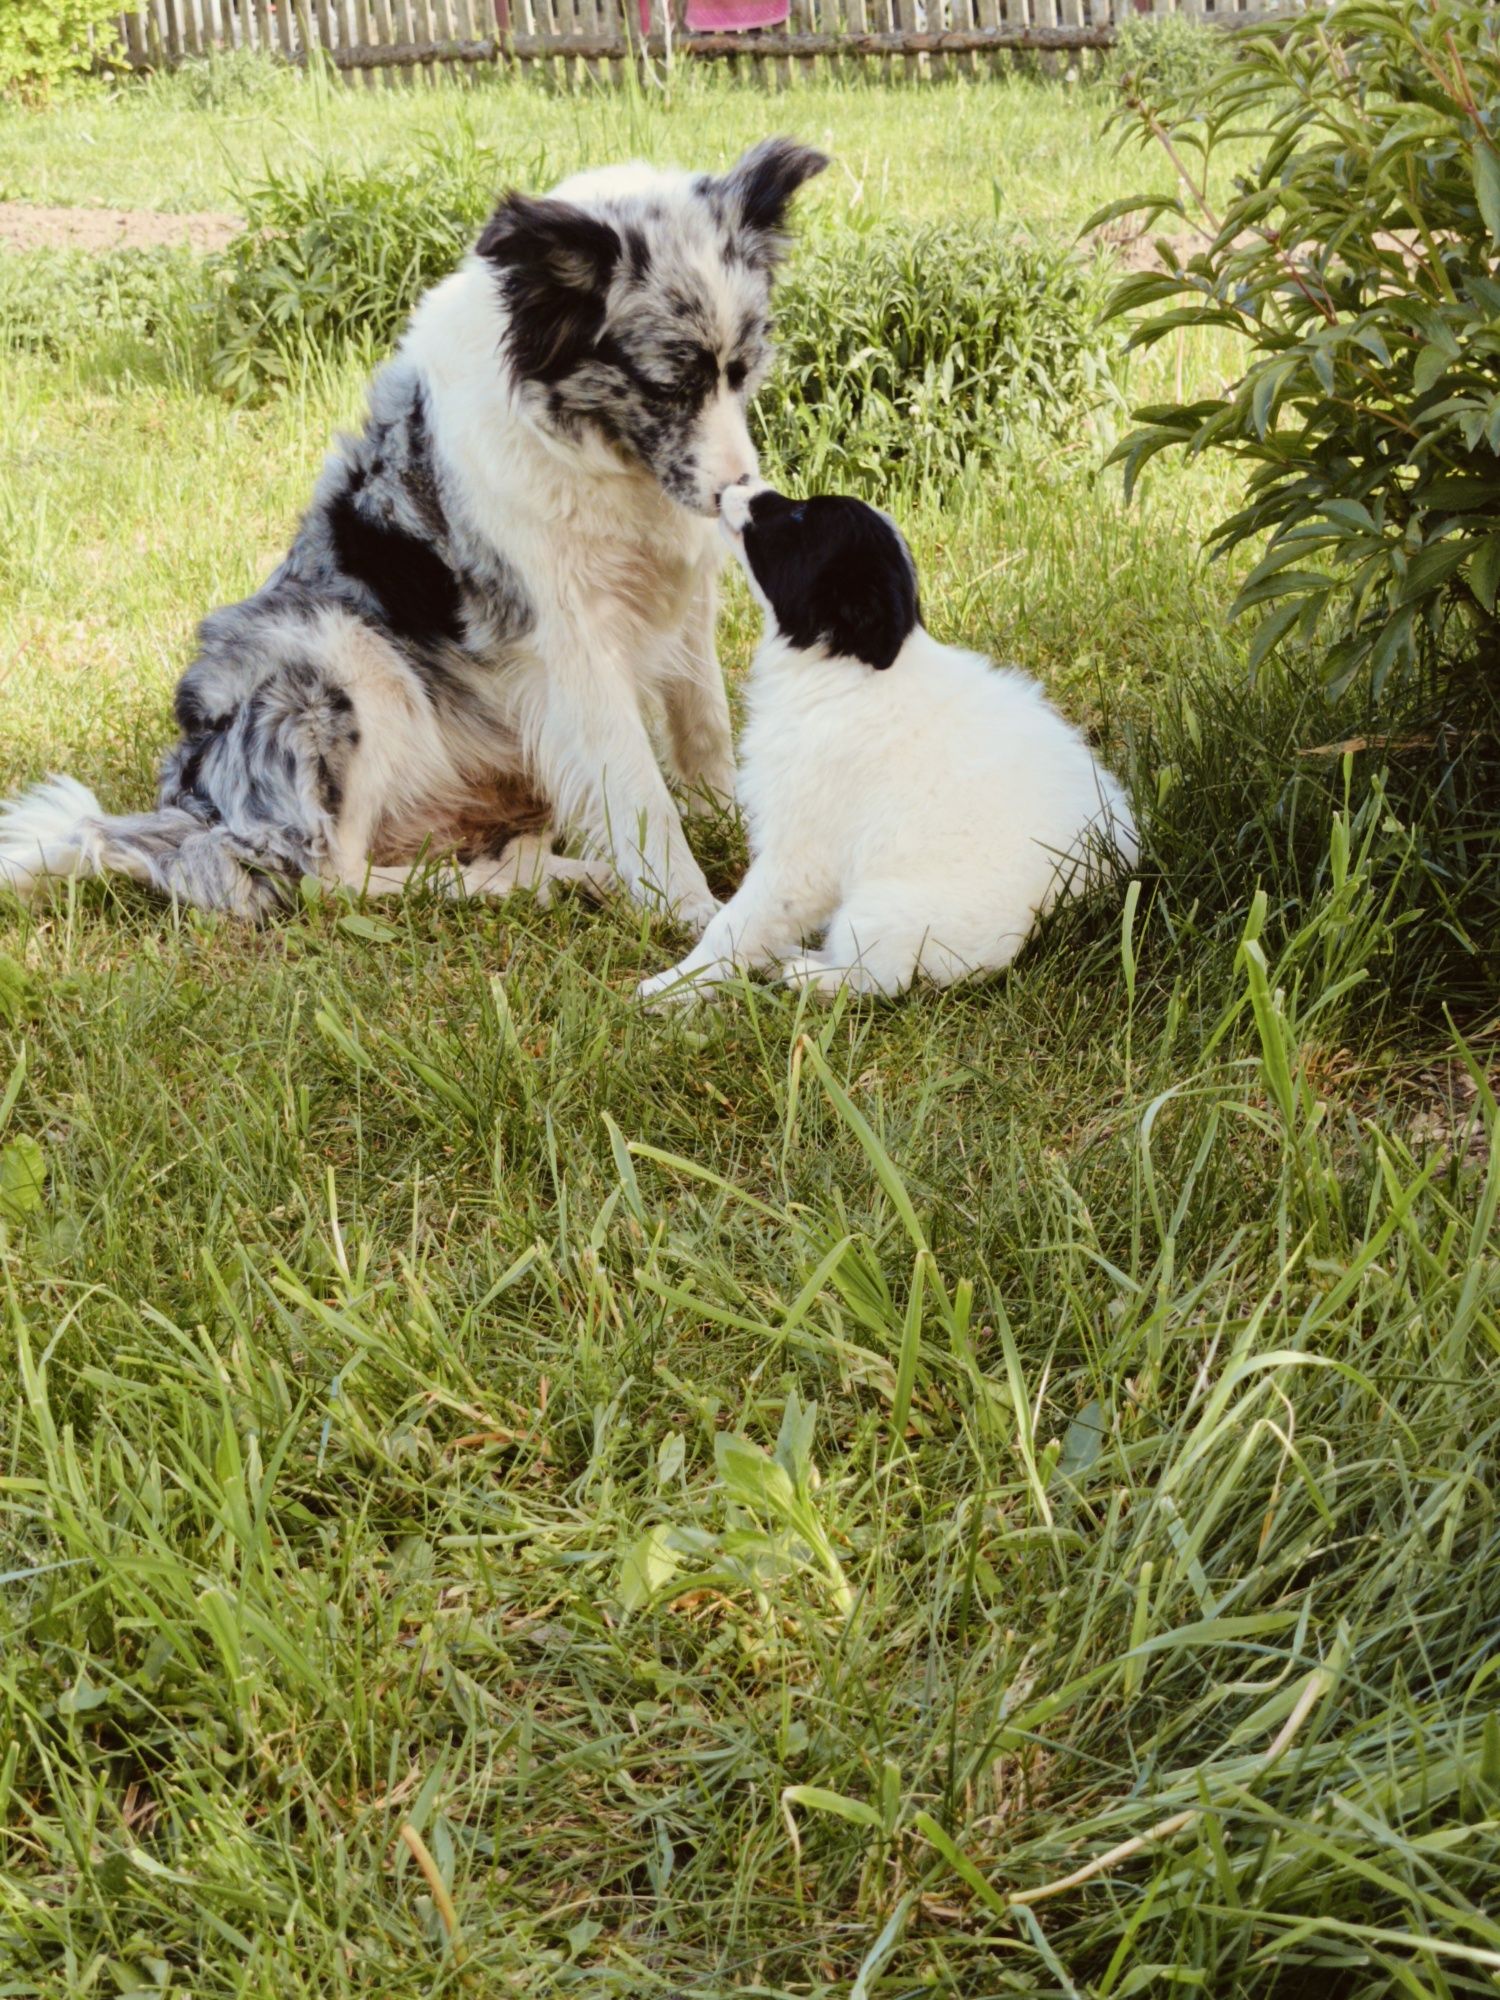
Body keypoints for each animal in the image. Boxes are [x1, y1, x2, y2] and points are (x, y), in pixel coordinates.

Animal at [0, 143, 836, 936]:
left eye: (743, 370)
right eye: (667, 386)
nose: (743, 498)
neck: (594, 448)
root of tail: (195, 804)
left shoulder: (681, 598)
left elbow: (704, 729)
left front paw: (730, 823)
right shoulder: (569, 643)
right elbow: (637, 793)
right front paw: (691, 912)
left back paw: (551, 870)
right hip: (337, 654)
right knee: (325, 876)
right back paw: (524, 884)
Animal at [636, 488, 1136, 1000]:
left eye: (799, 516)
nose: (731, 491)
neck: (843, 666)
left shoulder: (799, 857)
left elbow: (735, 925)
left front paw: (672, 987)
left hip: (880, 910)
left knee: (885, 978)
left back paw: (808, 974)